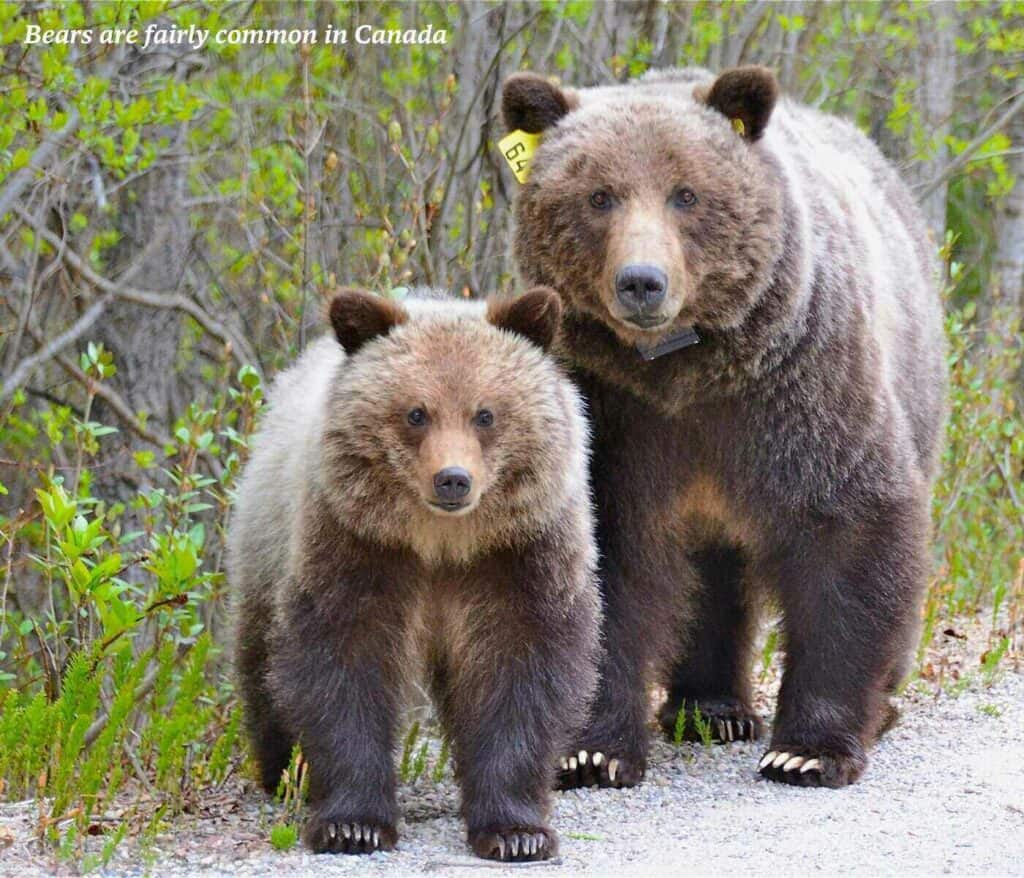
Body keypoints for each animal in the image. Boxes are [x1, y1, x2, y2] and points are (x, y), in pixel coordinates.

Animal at [228, 286, 601, 859]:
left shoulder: (518, 555)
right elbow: (343, 662)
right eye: (416, 413)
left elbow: (519, 667)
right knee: (262, 662)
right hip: (266, 542)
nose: (453, 479)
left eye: (485, 414)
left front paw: (516, 832)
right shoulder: (359, 546)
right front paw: (352, 824)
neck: (441, 542)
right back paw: (282, 769)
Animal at [500, 65, 946, 789]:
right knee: (711, 572)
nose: (641, 282)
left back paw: (877, 708)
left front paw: (807, 750)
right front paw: (591, 750)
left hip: (914, 382)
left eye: (686, 194)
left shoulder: (800, 385)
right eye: (600, 196)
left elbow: (850, 526)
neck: (687, 372)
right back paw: (709, 708)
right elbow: (606, 554)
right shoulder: (615, 413)